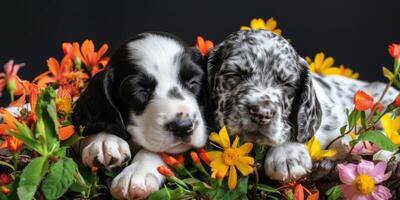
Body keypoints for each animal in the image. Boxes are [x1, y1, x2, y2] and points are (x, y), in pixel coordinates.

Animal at [73, 32, 208, 199]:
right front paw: (104, 141)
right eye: (140, 91)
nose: (183, 127)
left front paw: (137, 173)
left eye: (193, 82)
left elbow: (159, 151)